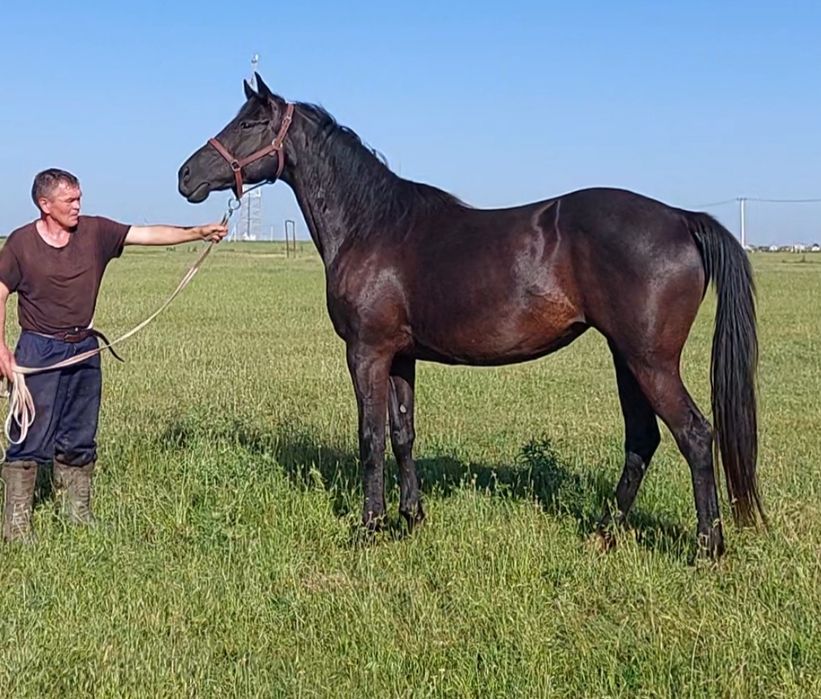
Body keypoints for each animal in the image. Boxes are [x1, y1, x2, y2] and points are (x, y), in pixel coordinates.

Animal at [178, 74, 763, 558]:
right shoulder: (400, 357)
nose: (186, 176)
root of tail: (682, 219)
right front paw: (411, 518)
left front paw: (370, 525)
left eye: (249, 122)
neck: (373, 225)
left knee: (694, 435)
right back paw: (604, 532)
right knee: (643, 439)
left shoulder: (366, 352)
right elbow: (402, 433)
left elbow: (369, 437)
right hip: (627, 358)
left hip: (650, 361)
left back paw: (707, 547)